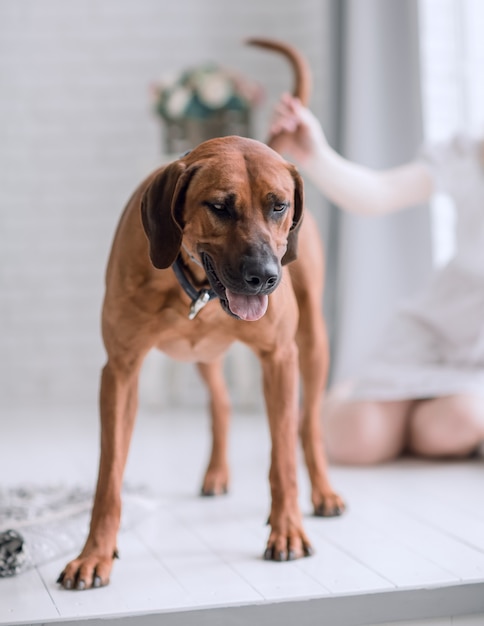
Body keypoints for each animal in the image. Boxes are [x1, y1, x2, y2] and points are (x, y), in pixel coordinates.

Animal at [57, 41, 344, 588]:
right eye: (219, 206)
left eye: (279, 206)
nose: (264, 277)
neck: (198, 290)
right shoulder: (121, 370)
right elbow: (109, 475)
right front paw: (94, 553)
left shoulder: (279, 357)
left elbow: (283, 456)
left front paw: (287, 529)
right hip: (204, 355)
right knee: (223, 404)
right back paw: (216, 473)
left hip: (312, 343)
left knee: (308, 427)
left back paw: (321, 491)